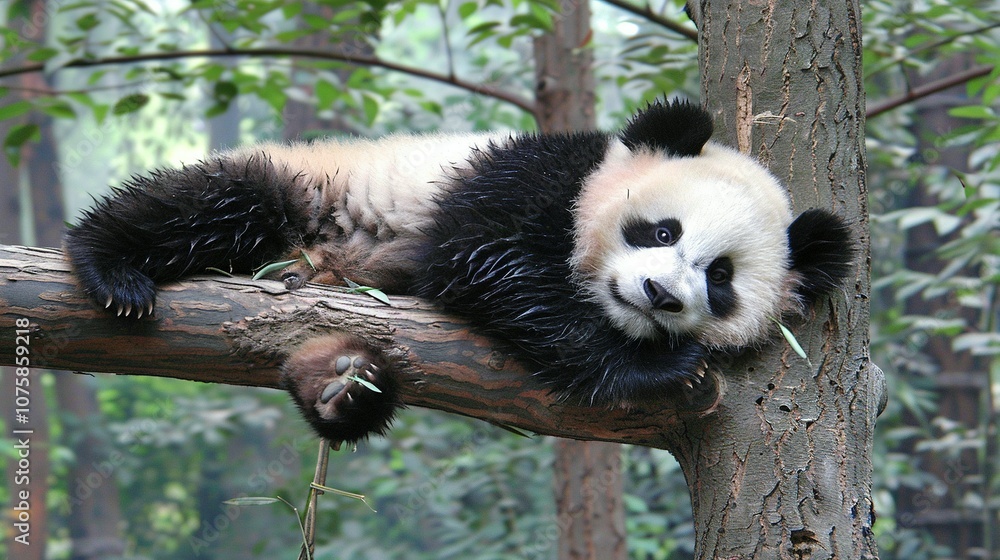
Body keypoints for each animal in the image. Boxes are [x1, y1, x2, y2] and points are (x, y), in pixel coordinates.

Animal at [65, 99, 854, 443]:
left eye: (720, 279)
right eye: (662, 230)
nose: (658, 294)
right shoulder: (528, 177)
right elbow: (488, 263)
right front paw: (655, 368)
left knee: (336, 364)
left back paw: (341, 388)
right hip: (310, 183)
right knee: (217, 201)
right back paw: (113, 269)